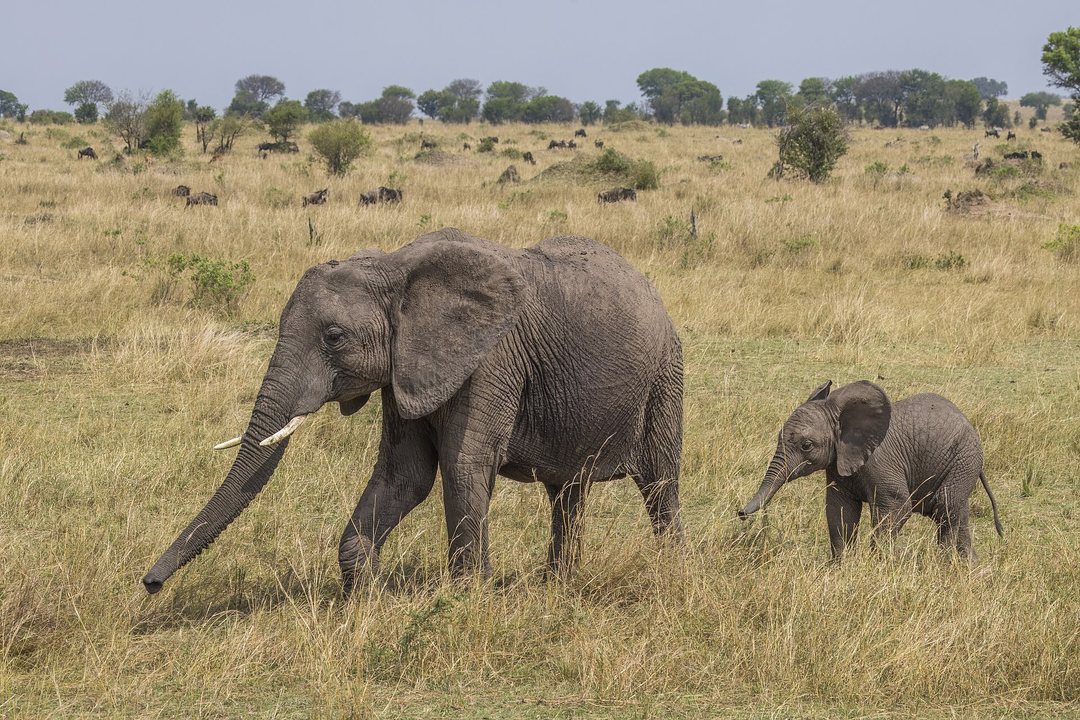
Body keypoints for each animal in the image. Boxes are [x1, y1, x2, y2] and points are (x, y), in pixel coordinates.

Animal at [142, 228, 684, 595]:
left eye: (333, 336)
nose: (149, 584)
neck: (393, 266)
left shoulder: (491, 360)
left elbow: (464, 466)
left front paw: (468, 601)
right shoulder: (405, 368)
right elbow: (405, 473)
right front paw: (366, 599)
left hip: (665, 375)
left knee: (660, 483)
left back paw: (669, 575)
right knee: (566, 492)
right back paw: (558, 585)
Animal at [738, 380, 1003, 560]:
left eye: (806, 445)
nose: (740, 513)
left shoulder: (880, 462)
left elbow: (896, 506)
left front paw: (879, 567)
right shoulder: (838, 464)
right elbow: (840, 511)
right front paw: (840, 568)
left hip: (963, 459)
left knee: (945, 507)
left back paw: (944, 565)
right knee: (958, 512)